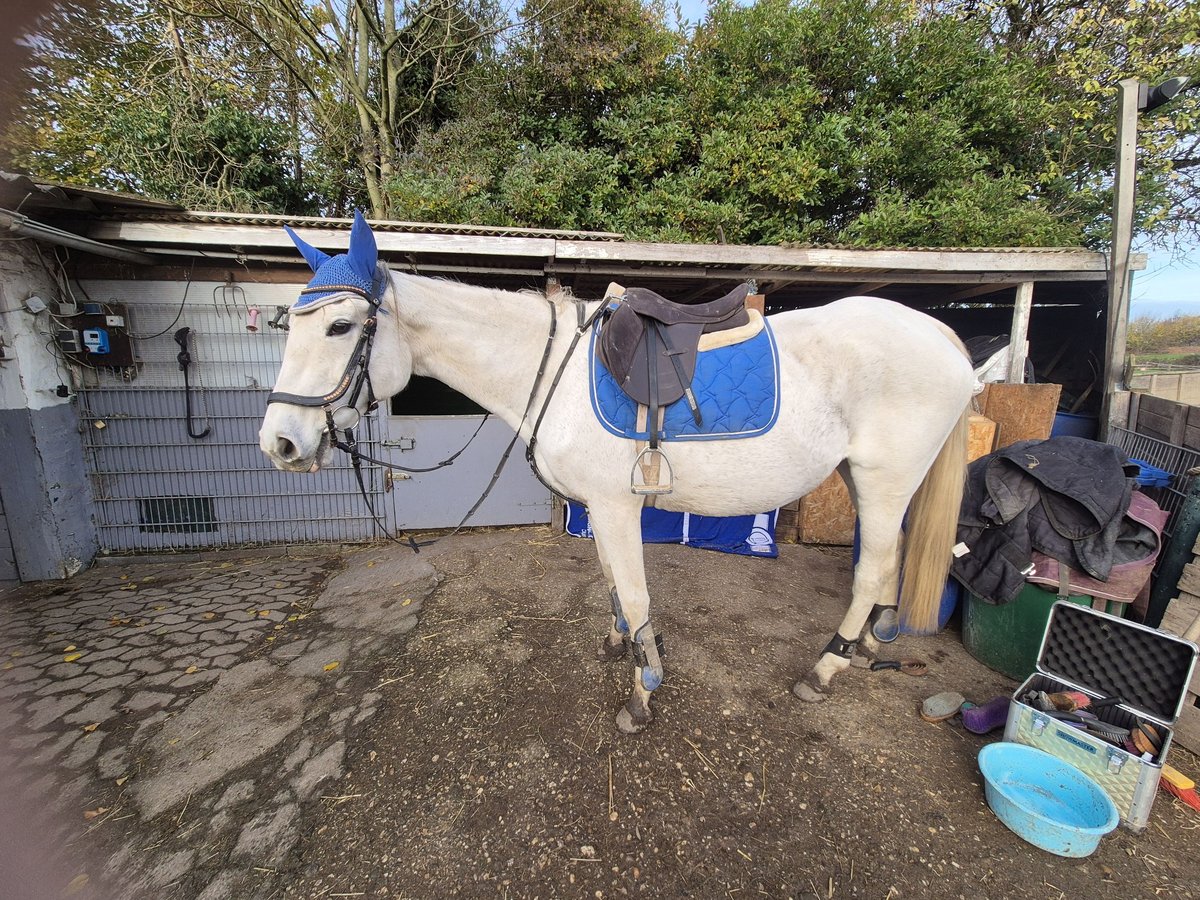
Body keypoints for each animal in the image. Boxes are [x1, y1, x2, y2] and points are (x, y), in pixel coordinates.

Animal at [259, 212, 976, 734]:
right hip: (866, 479)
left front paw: (642, 691)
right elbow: (610, 582)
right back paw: (871, 645)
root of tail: (944, 337)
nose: (279, 443)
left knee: (870, 569)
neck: (547, 369)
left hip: (882, 480)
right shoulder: (600, 510)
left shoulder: (614, 505)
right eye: (288, 326)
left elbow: (632, 592)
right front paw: (621, 647)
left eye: (340, 325)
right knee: (891, 560)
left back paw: (826, 668)